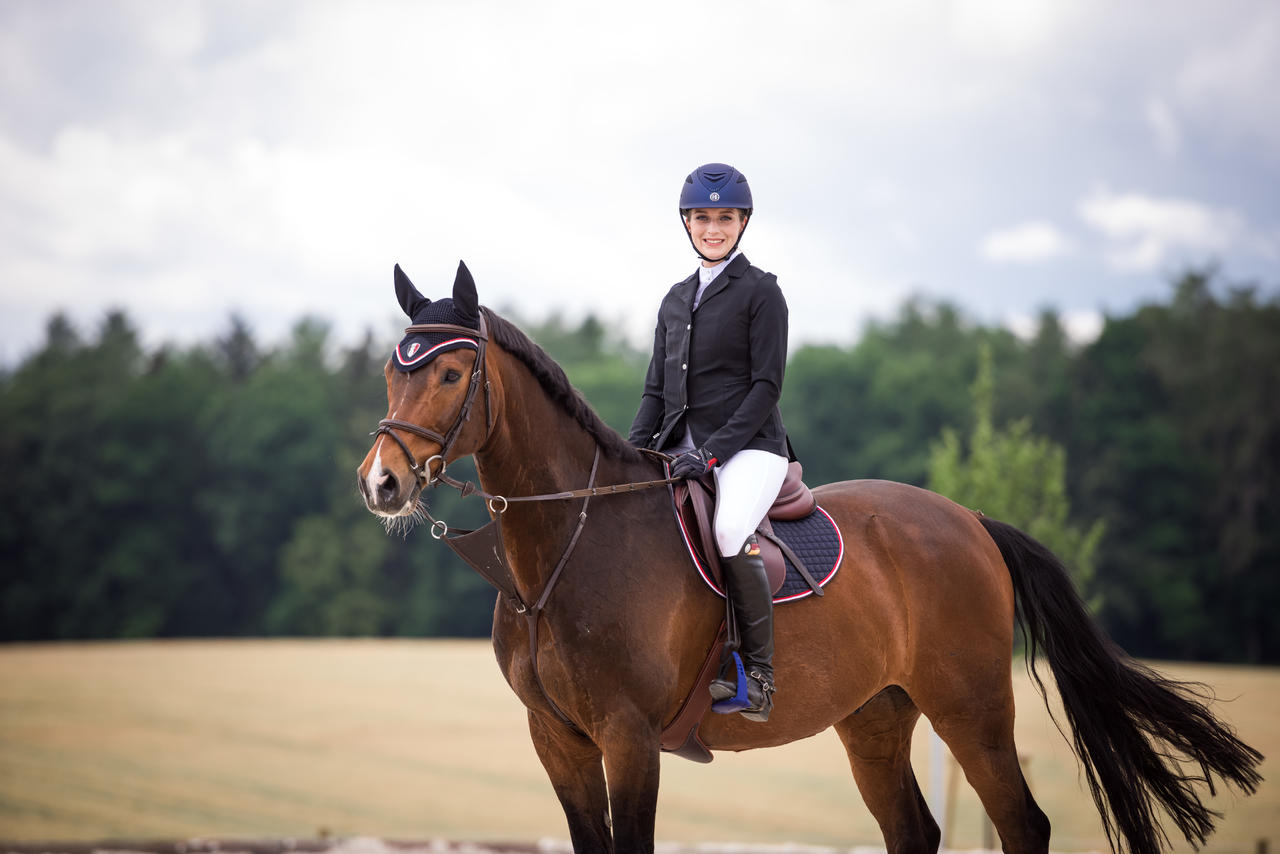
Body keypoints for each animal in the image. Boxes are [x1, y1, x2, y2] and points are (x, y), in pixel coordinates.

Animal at [358, 262, 1259, 854]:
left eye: (450, 372)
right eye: (388, 372)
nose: (381, 483)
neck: (563, 549)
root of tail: (968, 518)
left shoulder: (628, 738)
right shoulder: (559, 740)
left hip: (969, 705)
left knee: (1021, 823)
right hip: (876, 713)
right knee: (912, 830)